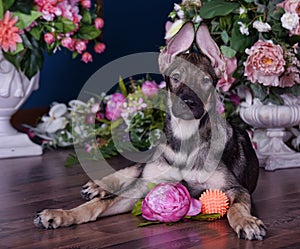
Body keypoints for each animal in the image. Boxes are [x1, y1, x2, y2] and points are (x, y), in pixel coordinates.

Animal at [34, 22, 268, 240]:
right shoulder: (142, 187)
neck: (185, 139)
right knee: (130, 171)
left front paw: (247, 222)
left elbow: (236, 207)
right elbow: (99, 204)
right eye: (176, 77)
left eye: (205, 81)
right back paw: (96, 186)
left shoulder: (235, 189)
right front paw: (62, 214)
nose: (189, 103)